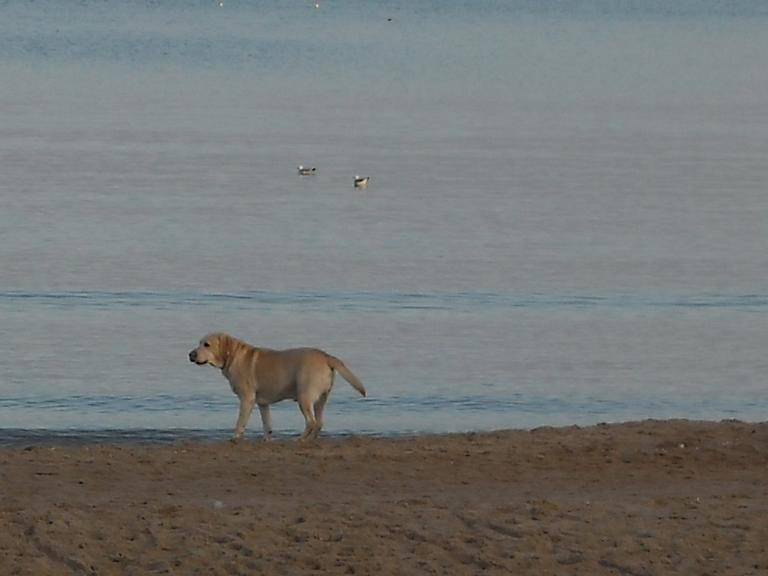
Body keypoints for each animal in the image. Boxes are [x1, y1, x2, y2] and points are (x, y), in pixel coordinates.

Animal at [188, 332, 364, 440]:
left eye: (207, 344)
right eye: (199, 343)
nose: (191, 354)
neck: (233, 356)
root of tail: (326, 356)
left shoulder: (247, 399)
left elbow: (240, 422)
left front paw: (235, 438)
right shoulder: (262, 403)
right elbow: (267, 425)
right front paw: (267, 440)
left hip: (304, 397)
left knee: (311, 422)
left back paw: (300, 440)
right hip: (321, 398)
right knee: (319, 423)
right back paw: (310, 440)